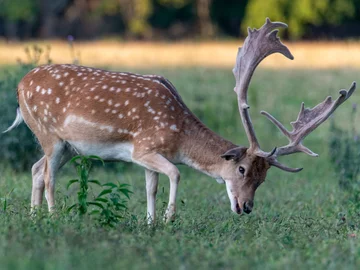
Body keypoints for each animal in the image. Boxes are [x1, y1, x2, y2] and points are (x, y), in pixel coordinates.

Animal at [4, 17, 356, 223]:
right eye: (241, 169)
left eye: (264, 178)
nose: (246, 207)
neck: (179, 134)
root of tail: (19, 87)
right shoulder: (144, 147)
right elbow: (175, 173)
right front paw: (169, 219)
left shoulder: (145, 158)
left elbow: (151, 187)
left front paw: (150, 223)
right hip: (49, 134)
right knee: (48, 174)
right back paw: (53, 217)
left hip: (69, 146)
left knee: (35, 169)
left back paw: (34, 217)